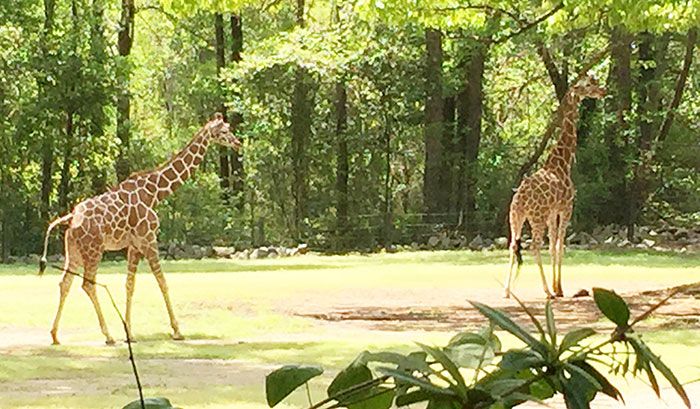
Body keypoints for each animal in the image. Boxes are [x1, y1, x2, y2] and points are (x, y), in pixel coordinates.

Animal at [39, 113, 241, 345]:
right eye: (224, 130)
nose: (238, 143)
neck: (155, 193)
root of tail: (71, 218)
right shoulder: (148, 239)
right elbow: (162, 281)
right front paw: (177, 330)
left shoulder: (134, 246)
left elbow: (129, 285)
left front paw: (130, 332)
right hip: (94, 250)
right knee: (87, 284)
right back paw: (107, 335)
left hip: (73, 251)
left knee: (65, 283)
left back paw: (55, 335)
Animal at [504, 75, 605, 299]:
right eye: (588, 85)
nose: (603, 91)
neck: (563, 161)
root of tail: (521, 198)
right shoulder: (566, 207)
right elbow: (560, 245)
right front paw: (558, 288)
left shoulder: (553, 211)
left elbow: (552, 245)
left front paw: (557, 286)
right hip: (536, 217)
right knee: (534, 245)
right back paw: (547, 291)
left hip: (515, 217)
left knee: (513, 245)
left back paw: (507, 291)